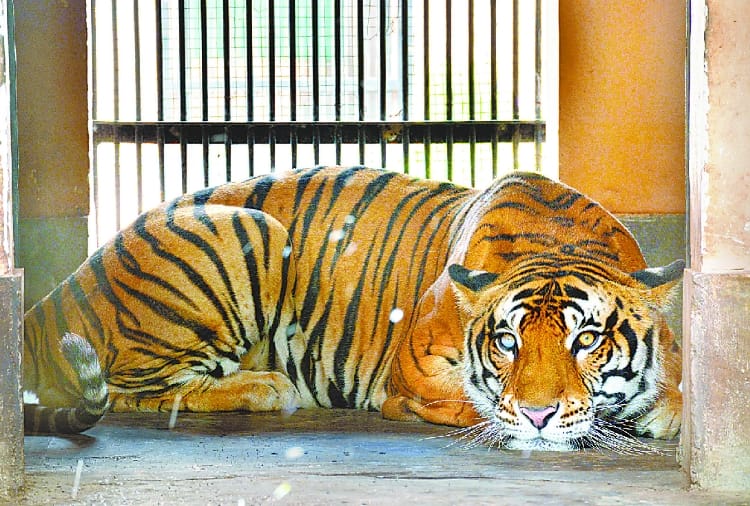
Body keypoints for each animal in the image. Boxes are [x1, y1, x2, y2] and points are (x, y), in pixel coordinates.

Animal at [23, 165, 684, 451]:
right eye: (507, 341)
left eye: (586, 340)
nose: (540, 416)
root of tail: (51, 298)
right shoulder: (413, 369)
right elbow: (474, 403)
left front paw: (659, 407)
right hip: (251, 228)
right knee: (133, 388)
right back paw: (265, 386)